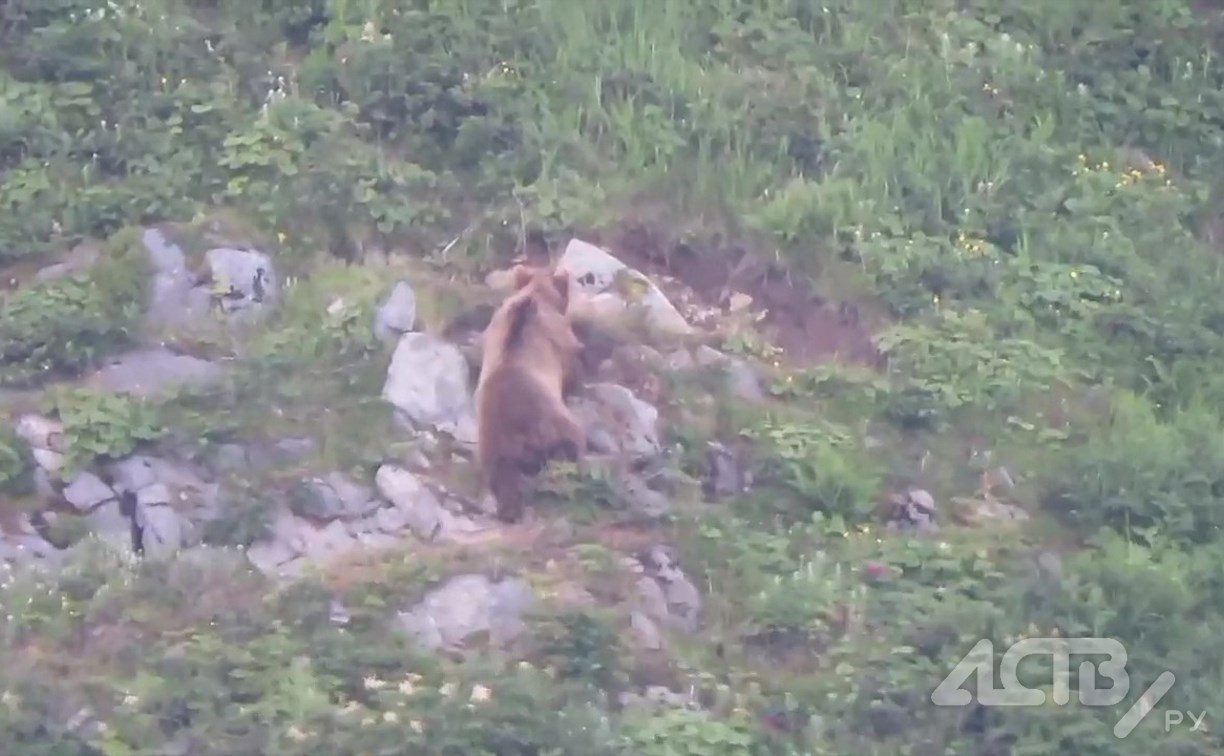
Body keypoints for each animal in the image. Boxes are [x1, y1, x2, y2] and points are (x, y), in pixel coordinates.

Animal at [474, 263, 587, 523]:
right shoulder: (562, 341)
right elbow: (573, 367)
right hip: (551, 418)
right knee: (572, 441)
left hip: (493, 445)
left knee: (503, 478)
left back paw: (509, 509)